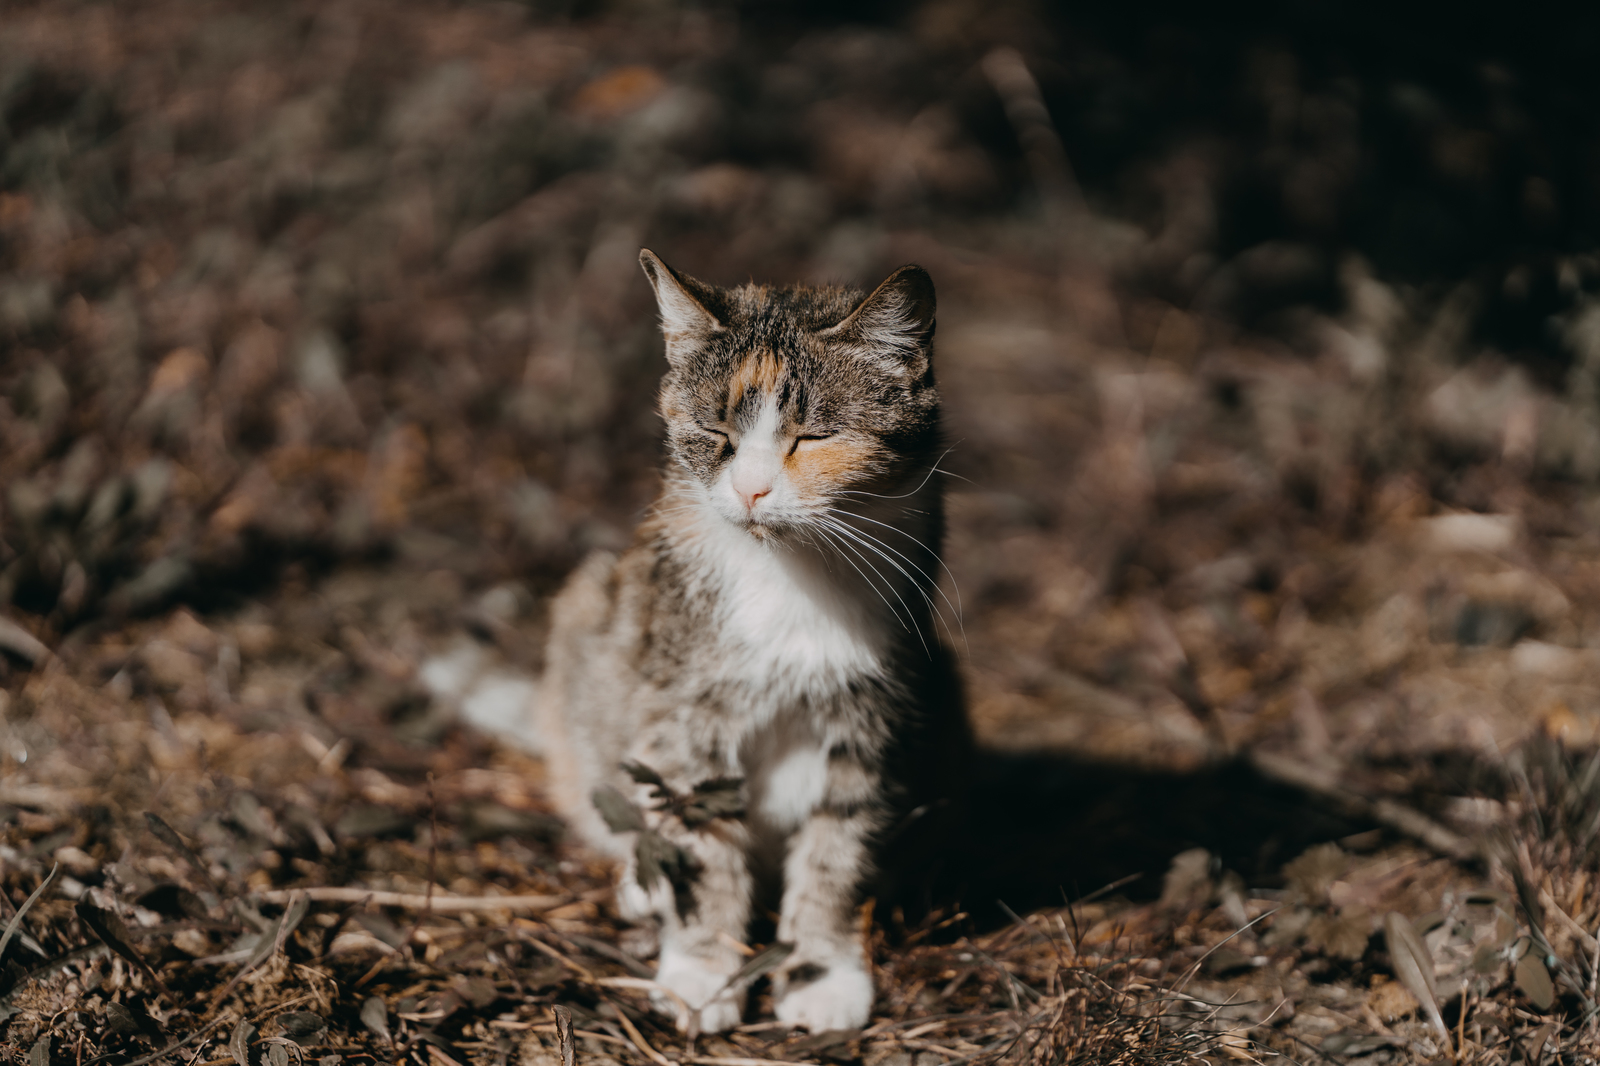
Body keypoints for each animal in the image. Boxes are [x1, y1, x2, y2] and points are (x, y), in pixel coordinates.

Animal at [531, 249, 966, 1030]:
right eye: (716, 434)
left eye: (815, 436)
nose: (752, 491)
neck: (787, 576)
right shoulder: (685, 714)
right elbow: (702, 847)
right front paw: (703, 973)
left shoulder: (873, 712)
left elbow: (837, 847)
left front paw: (820, 972)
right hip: (590, 615)